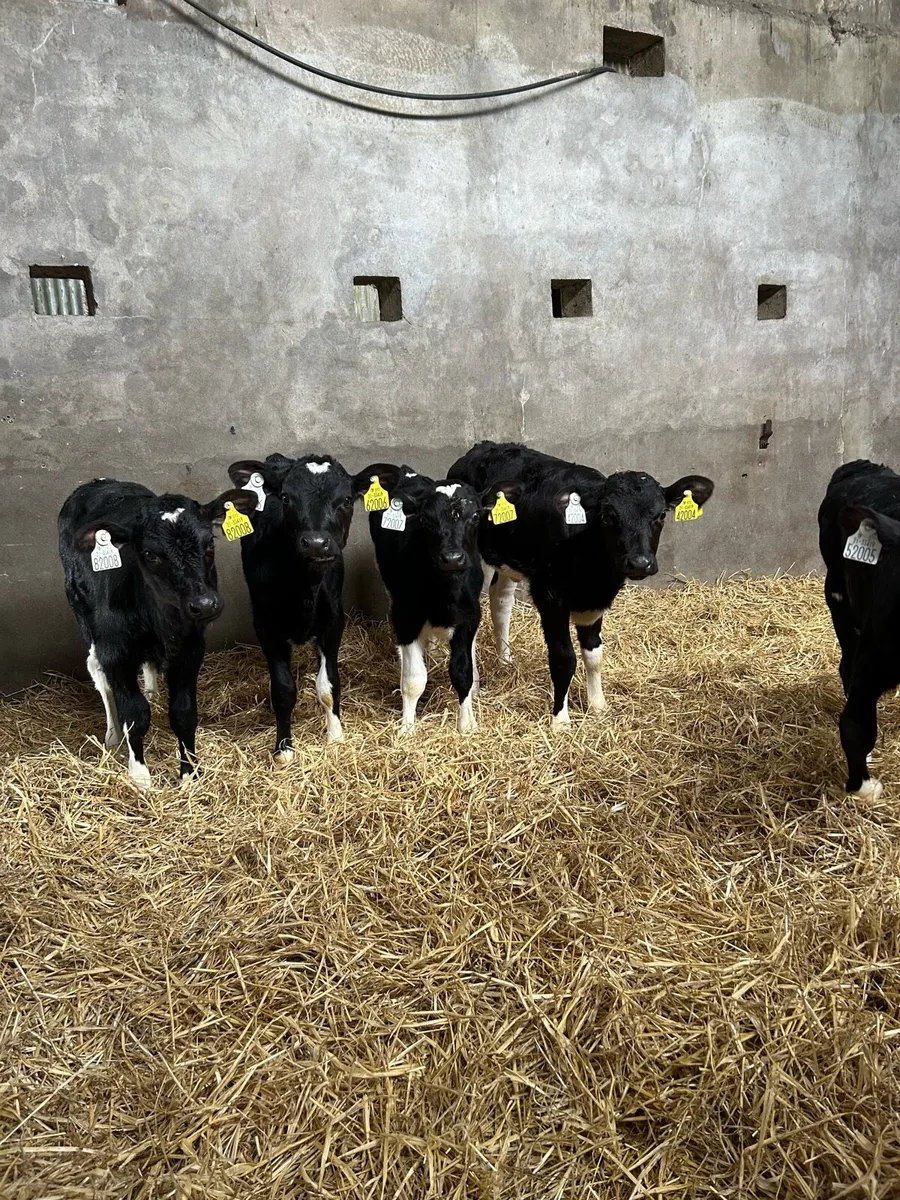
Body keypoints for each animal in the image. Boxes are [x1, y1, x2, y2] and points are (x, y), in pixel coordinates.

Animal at [58, 478, 257, 787]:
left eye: (209, 543)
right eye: (151, 555)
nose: (204, 604)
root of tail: (98, 482)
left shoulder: (190, 650)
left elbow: (183, 713)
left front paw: (189, 773)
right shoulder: (115, 653)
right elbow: (135, 714)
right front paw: (140, 775)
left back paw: (151, 693)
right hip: (83, 616)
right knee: (99, 676)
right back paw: (113, 735)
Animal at [227, 453, 368, 760]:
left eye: (347, 499)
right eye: (286, 498)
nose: (316, 543)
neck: (305, 589)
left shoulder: (333, 621)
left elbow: (328, 685)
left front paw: (336, 736)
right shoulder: (266, 627)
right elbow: (282, 690)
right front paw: (283, 749)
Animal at [358, 465, 483, 733]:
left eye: (475, 517)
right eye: (426, 520)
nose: (452, 558)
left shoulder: (468, 618)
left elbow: (462, 673)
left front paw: (466, 725)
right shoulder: (406, 618)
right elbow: (414, 680)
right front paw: (407, 728)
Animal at [448, 441, 714, 723]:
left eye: (661, 515)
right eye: (608, 515)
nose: (640, 563)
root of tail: (484, 447)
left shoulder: (595, 601)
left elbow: (594, 654)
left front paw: (598, 705)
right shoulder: (549, 597)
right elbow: (564, 658)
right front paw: (560, 720)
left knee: (500, 599)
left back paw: (506, 661)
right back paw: (475, 685)